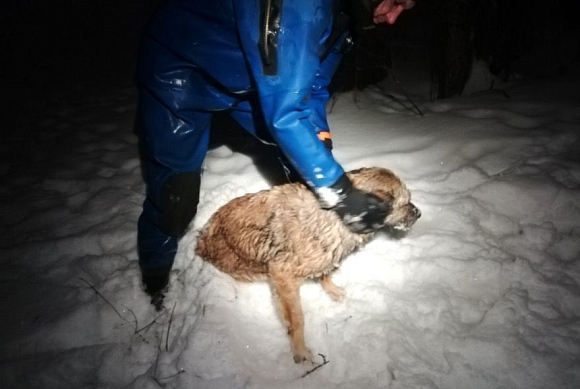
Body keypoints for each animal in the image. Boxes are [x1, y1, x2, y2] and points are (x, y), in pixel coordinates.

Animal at [197, 167, 420, 364]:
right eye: (404, 202)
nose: (419, 213)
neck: (337, 216)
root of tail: (201, 241)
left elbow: (325, 275)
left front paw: (333, 290)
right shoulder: (282, 275)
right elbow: (297, 320)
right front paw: (300, 350)